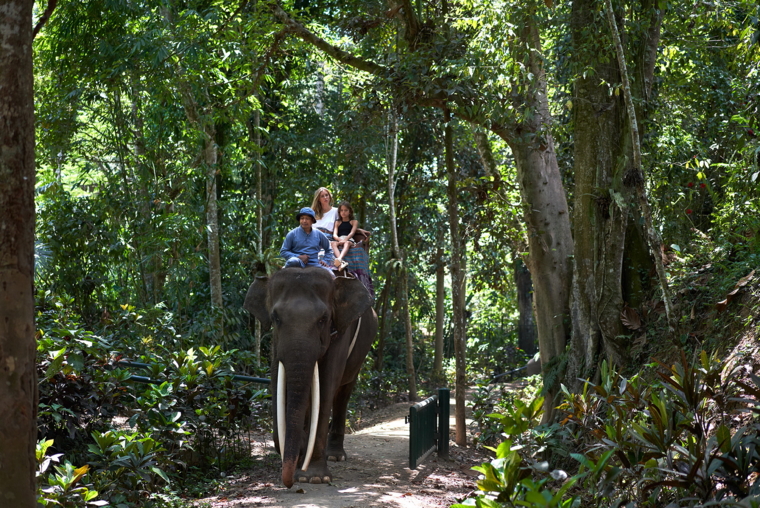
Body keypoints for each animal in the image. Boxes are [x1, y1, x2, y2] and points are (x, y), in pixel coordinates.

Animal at [243, 266, 378, 488]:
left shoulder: (340, 332)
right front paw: (297, 456)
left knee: (343, 393)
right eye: (276, 318)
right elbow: (278, 383)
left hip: (361, 353)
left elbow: (325, 387)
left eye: (323, 319)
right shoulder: (277, 343)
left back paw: (335, 456)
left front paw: (313, 477)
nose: (289, 484)